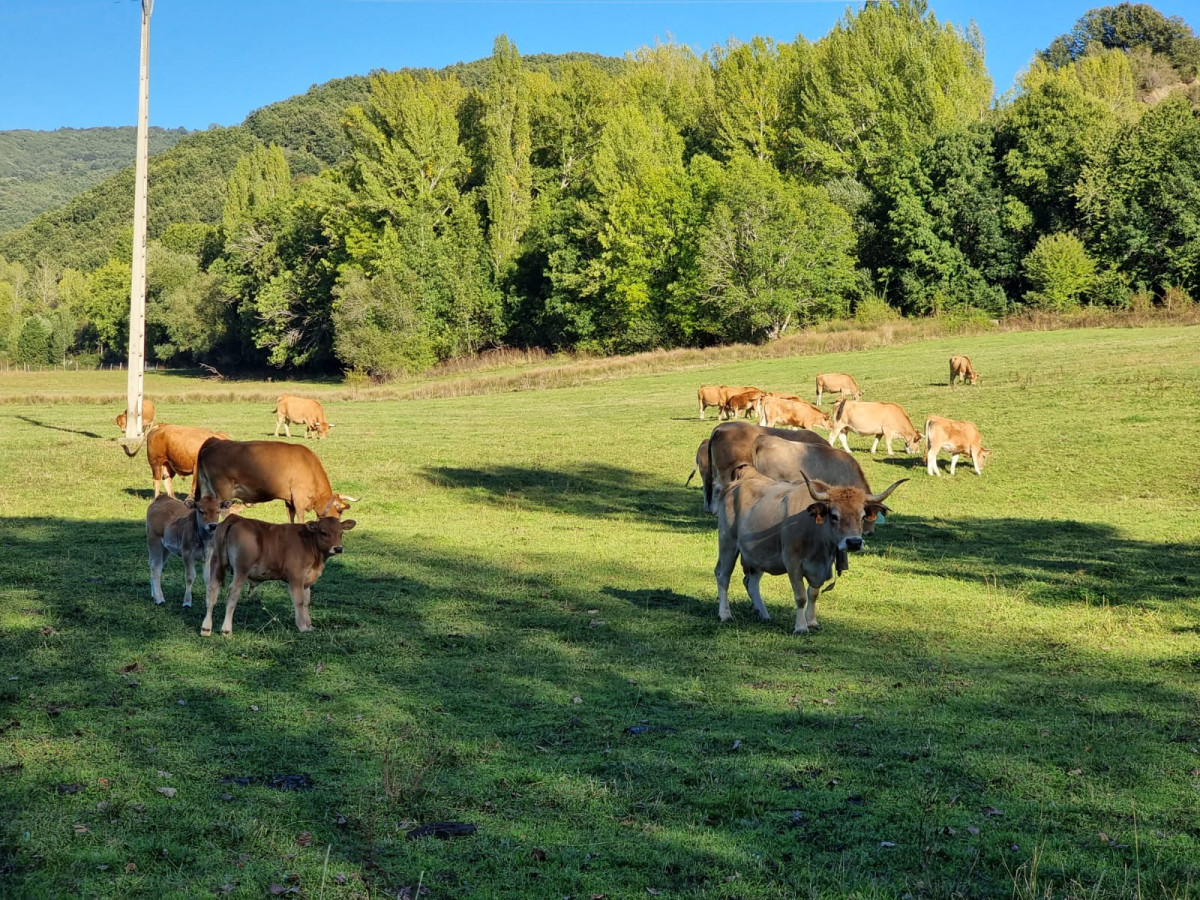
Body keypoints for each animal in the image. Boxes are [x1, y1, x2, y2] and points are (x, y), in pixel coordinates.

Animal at [194, 436, 355, 520]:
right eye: (340, 512)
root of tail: (213, 442)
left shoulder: (289, 500)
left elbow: (291, 517)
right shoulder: (299, 498)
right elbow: (301, 518)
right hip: (223, 491)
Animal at [196, 511, 352, 638]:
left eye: (341, 533)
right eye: (323, 532)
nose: (338, 548)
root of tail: (237, 518)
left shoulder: (306, 581)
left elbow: (306, 602)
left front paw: (309, 625)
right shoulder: (296, 578)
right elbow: (299, 601)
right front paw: (302, 626)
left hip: (216, 563)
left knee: (212, 591)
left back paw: (206, 628)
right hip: (241, 569)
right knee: (233, 593)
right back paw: (226, 629)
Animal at [710, 468, 907, 638]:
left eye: (862, 516)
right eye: (834, 515)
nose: (854, 542)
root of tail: (735, 484)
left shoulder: (821, 567)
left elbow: (813, 594)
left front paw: (812, 622)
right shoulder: (793, 563)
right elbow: (801, 597)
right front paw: (801, 627)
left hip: (757, 555)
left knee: (751, 582)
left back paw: (763, 614)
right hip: (728, 543)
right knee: (723, 576)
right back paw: (725, 614)